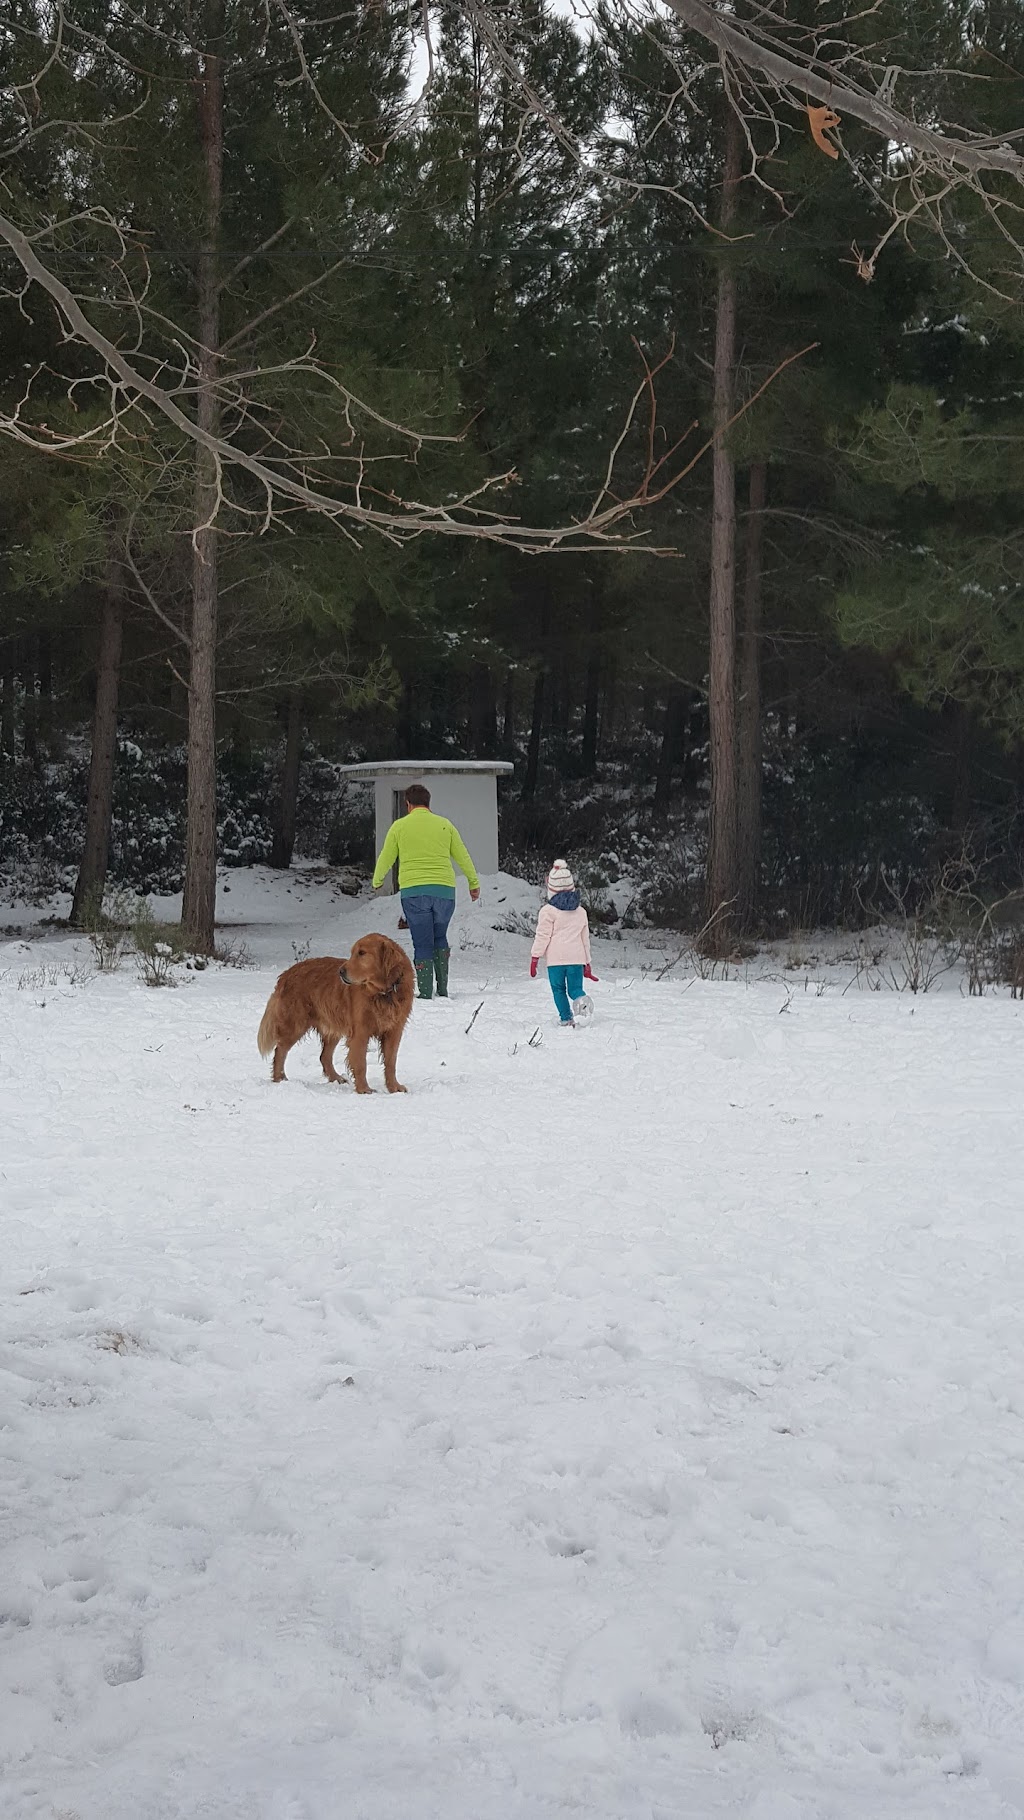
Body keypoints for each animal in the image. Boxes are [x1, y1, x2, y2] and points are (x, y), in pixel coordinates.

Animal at [257, 934, 415, 1093]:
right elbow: (361, 1064)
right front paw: (363, 1089)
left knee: (324, 1057)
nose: (341, 972)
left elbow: (391, 1062)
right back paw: (279, 1078)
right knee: (280, 1050)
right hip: (296, 1024)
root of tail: (287, 973)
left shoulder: (394, 1031)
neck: (384, 992)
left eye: (362, 953)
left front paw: (394, 1087)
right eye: (353, 953)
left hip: (331, 1027)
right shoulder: (360, 1032)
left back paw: (336, 1078)